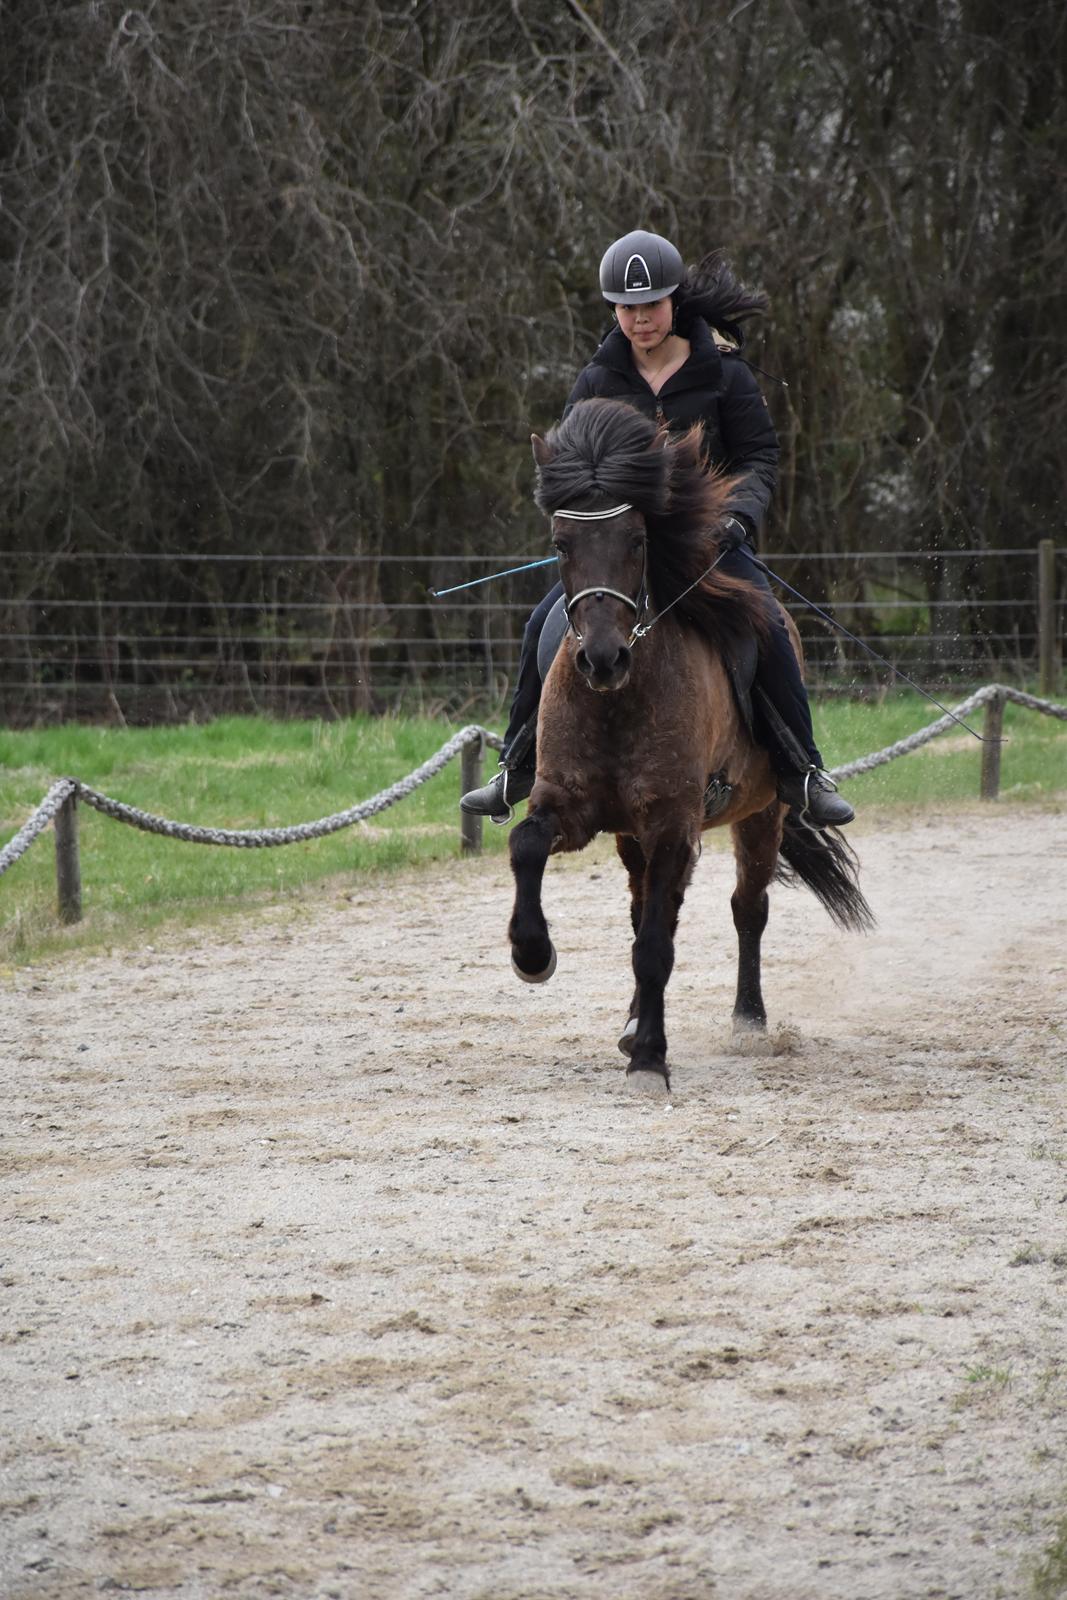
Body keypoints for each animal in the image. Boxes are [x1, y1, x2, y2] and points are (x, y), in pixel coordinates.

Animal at [505, 400, 870, 1100]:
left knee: (744, 911)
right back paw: (630, 1019)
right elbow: (526, 844)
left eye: (638, 541)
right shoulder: (569, 804)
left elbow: (657, 946)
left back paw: (747, 1022)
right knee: (644, 906)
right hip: (631, 835)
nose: (602, 659)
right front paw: (533, 955)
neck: (618, 700)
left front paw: (650, 1060)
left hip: (761, 815)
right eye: (562, 545)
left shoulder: (676, 821)